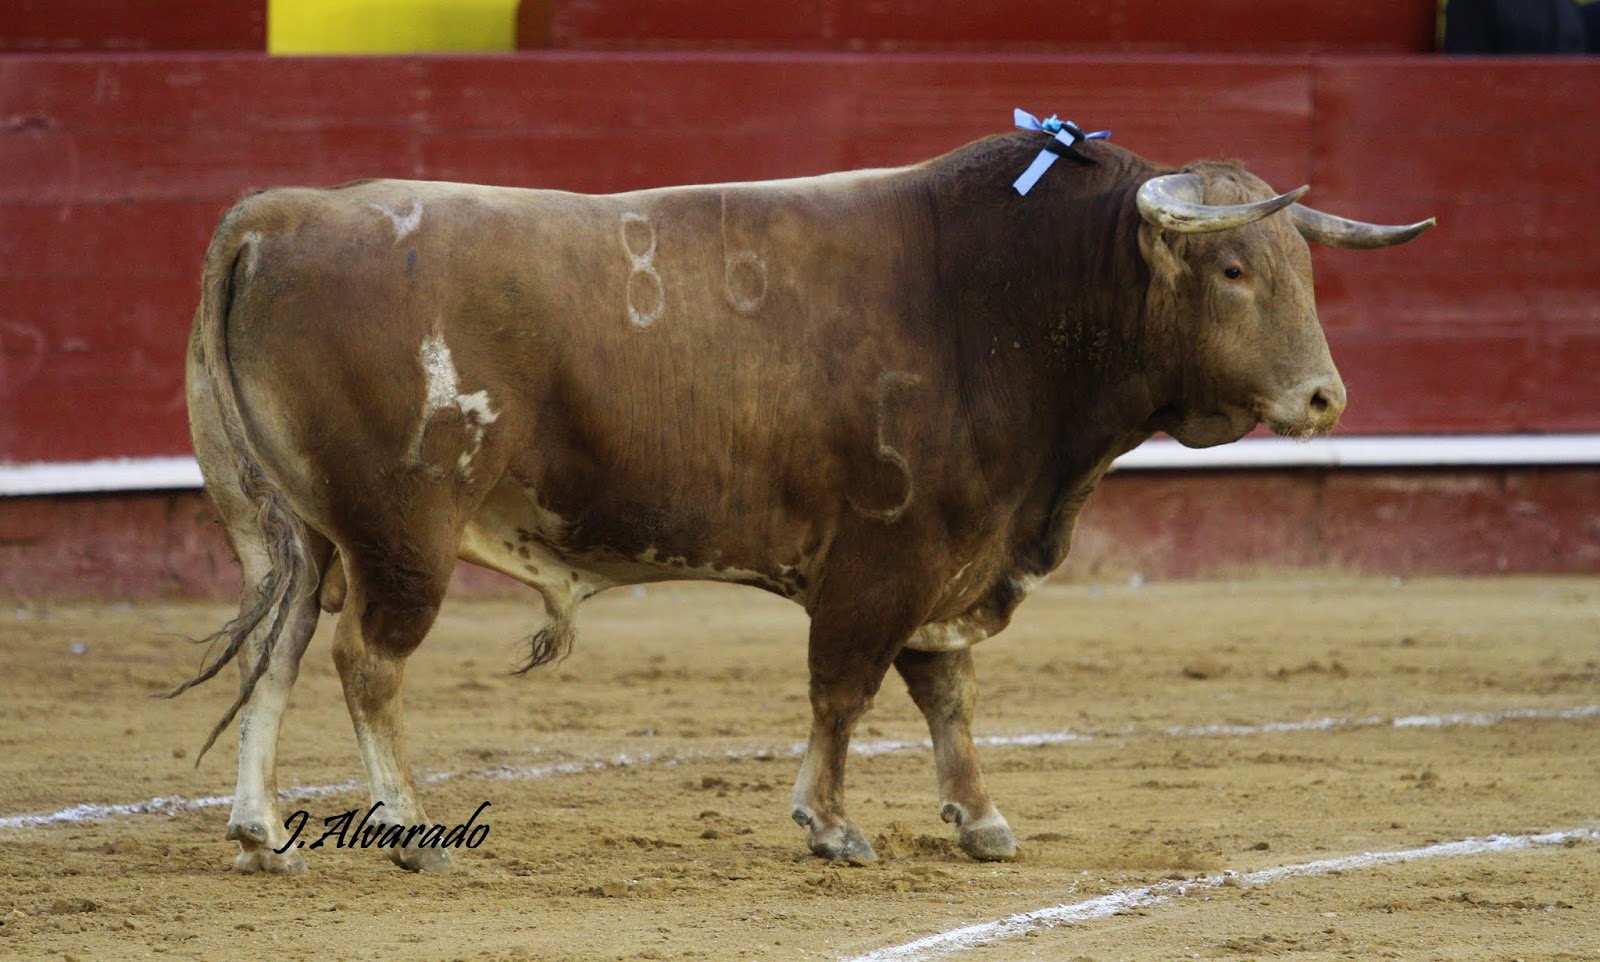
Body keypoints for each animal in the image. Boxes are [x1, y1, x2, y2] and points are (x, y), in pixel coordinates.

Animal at [178, 122, 1432, 874]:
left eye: (1304, 269)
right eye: (1234, 270)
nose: (1324, 396)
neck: (1002, 298)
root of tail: (283, 214)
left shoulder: (954, 555)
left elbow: (946, 694)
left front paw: (979, 818)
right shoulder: (884, 555)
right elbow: (845, 686)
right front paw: (830, 823)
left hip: (311, 530)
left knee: (280, 651)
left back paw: (263, 829)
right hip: (404, 531)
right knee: (366, 663)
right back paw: (406, 827)